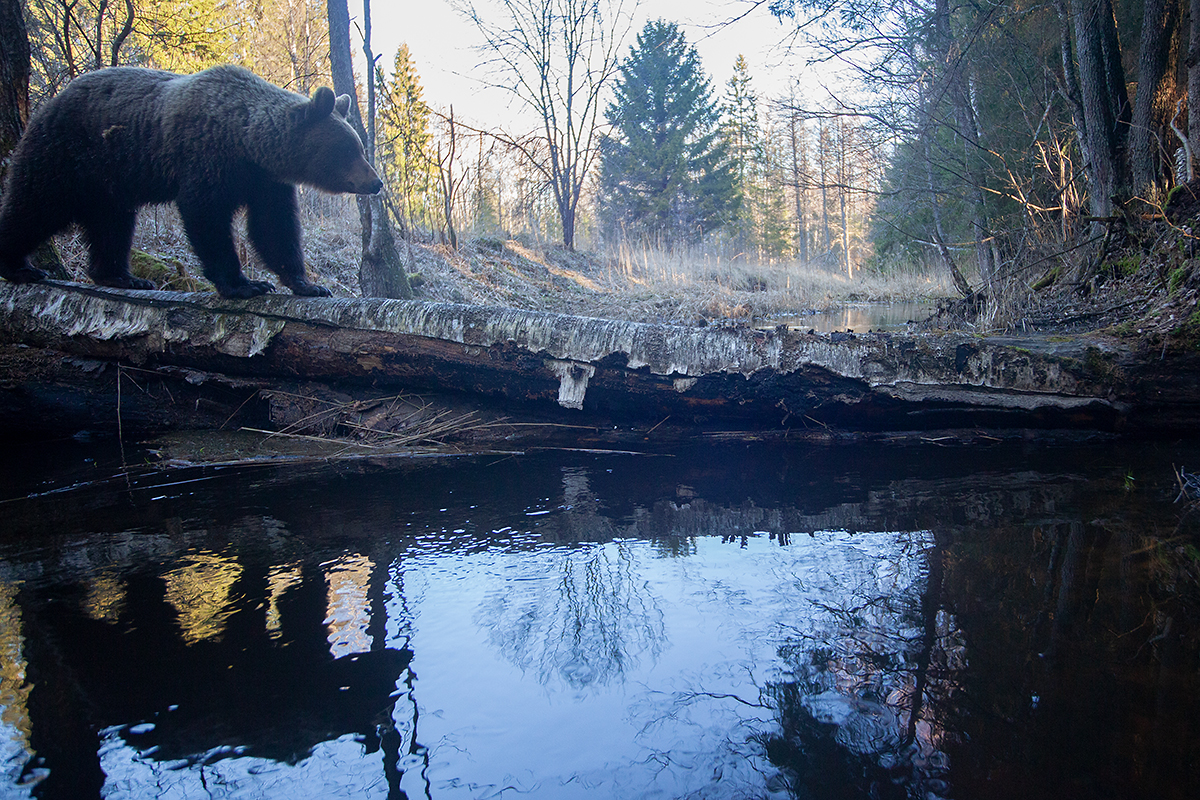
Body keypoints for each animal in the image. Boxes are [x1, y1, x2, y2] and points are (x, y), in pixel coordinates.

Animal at [0, 66, 381, 299]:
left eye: (360, 148)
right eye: (350, 149)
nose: (376, 182)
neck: (249, 143)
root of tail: (52, 100)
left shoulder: (264, 180)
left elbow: (274, 226)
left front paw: (307, 285)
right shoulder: (207, 158)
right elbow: (207, 216)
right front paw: (245, 284)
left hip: (111, 184)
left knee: (113, 227)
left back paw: (123, 275)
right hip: (70, 155)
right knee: (35, 204)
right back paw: (20, 266)